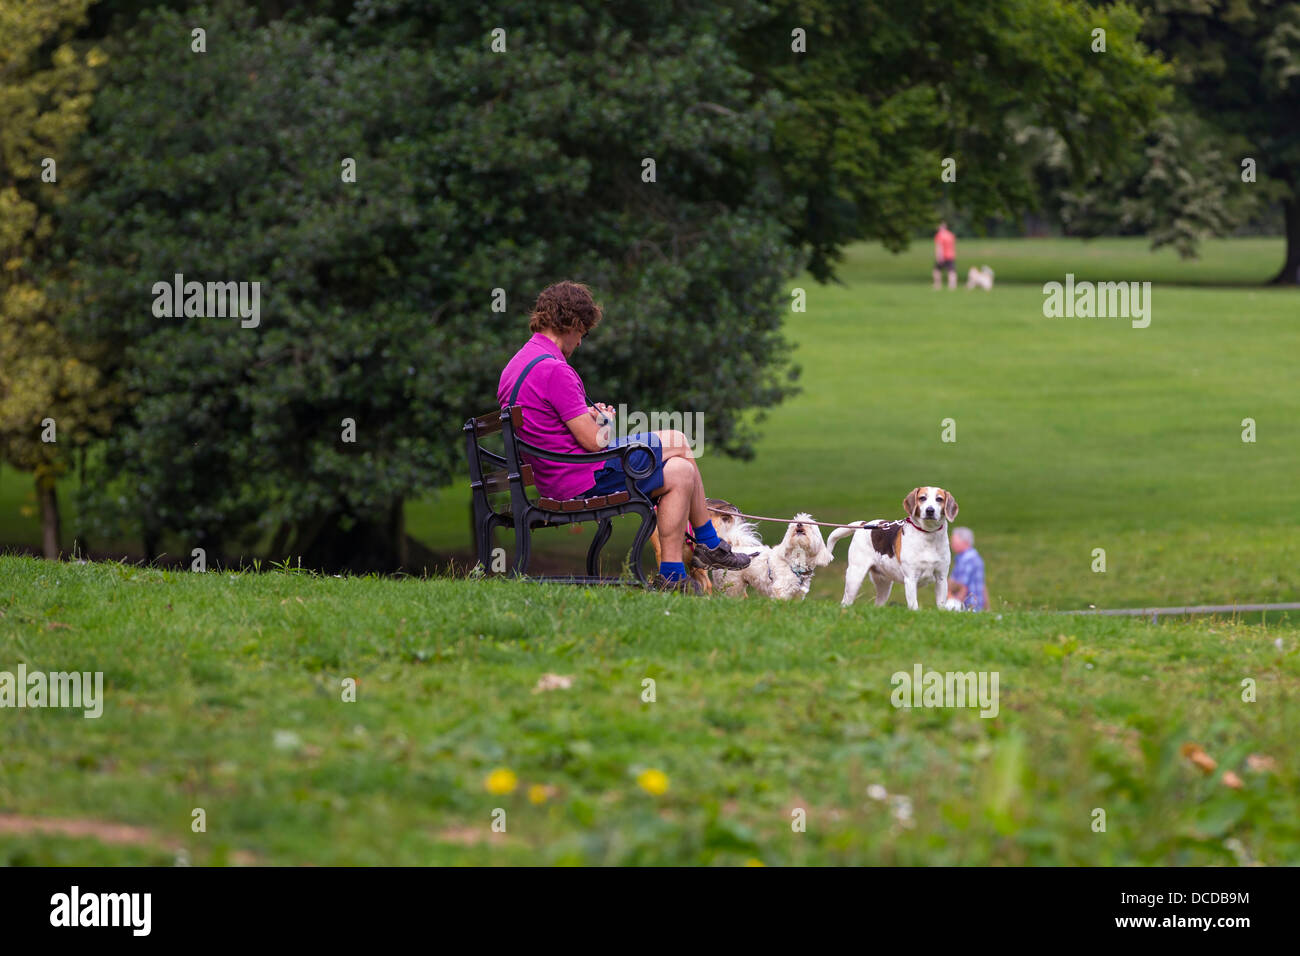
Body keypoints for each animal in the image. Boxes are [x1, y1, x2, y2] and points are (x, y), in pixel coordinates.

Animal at [702, 502, 832, 598]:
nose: (799, 524)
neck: (796, 560)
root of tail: (732, 546)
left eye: (809, 525)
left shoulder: (797, 594)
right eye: (793, 524)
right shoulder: (781, 589)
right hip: (732, 583)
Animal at [821, 486, 967, 613]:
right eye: (922, 498)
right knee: (846, 601)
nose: (930, 510)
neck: (928, 534)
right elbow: (914, 605)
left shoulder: (941, 578)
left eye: (939, 499)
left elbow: (941, 604)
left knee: (878, 603)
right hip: (855, 577)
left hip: (884, 584)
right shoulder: (910, 579)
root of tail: (865, 524)